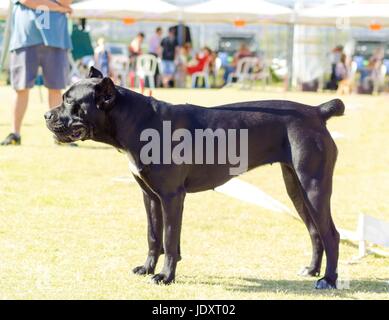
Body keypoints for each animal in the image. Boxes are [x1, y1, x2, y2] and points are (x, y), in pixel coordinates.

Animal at [44, 66, 342, 288]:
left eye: (70, 102)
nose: (46, 114)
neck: (137, 122)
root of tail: (316, 111)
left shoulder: (171, 196)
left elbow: (168, 239)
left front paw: (165, 276)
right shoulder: (150, 196)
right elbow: (154, 236)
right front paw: (148, 268)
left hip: (314, 187)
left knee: (331, 234)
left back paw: (328, 280)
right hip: (296, 188)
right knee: (314, 230)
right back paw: (312, 270)